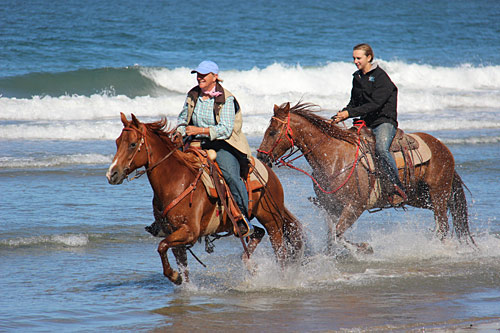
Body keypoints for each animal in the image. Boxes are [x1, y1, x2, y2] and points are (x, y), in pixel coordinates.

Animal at [106, 113, 302, 284]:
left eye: (132, 144)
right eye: (117, 142)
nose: (111, 174)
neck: (176, 181)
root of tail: (268, 171)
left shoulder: (189, 232)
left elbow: (161, 246)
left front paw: (174, 276)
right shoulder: (173, 233)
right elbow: (179, 264)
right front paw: (180, 281)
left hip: (271, 221)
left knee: (280, 251)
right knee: (257, 233)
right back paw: (249, 264)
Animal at [258, 102, 472, 253]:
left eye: (273, 132)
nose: (261, 157)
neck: (334, 157)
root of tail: (442, 147)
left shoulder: (354, 206)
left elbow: (338, 234)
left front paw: (364, 248)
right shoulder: (330, 207)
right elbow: (332, 236)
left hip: (438, 194)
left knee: (442, 225)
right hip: (420, 197)